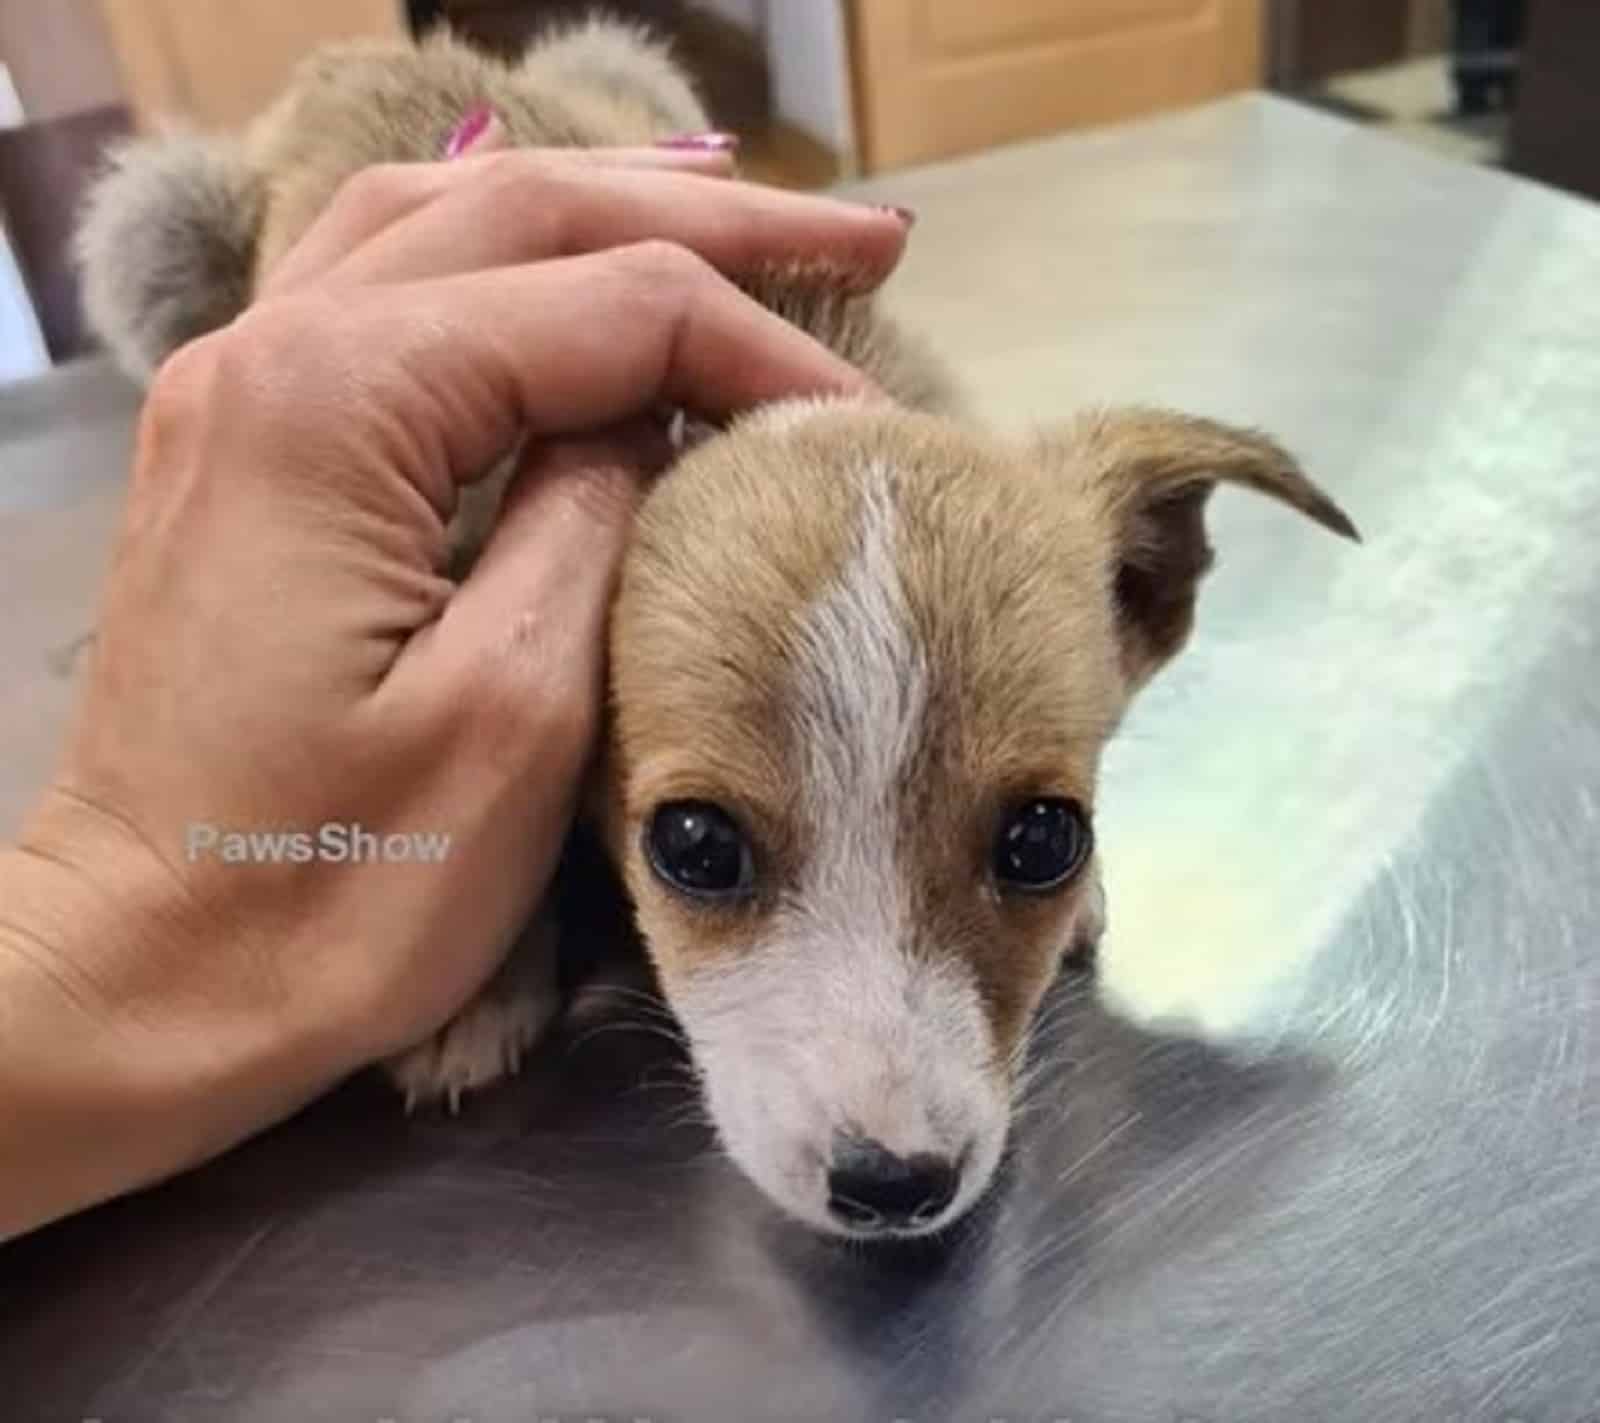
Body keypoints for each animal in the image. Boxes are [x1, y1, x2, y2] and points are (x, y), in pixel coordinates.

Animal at [75, 16, 1350, 1235]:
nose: (894, 1186)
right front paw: (479, 993)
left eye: (1045, 839)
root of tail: (358, 56)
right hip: (151, 241)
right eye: (693, 846)